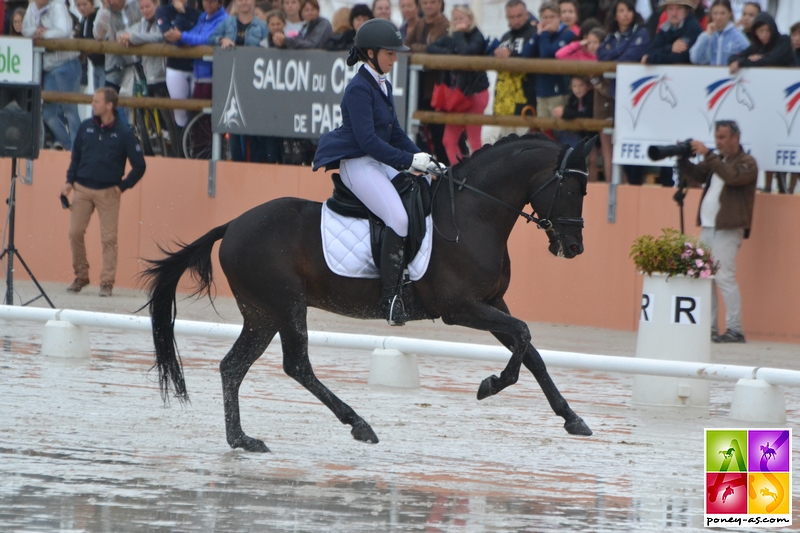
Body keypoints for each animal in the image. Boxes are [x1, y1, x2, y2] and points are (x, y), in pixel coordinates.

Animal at [144, 135, 592, 450]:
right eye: (574, 189)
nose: (574, 248)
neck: (474, 213)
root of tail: (232, 225)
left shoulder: (492, 303)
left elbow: (530, 350)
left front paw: (571, 418)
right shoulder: (461, 308)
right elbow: (523, 338)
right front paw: (492, 384)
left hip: (262, 313)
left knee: (233, 367)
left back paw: (242, 440)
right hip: (285, 306)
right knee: (296, 365)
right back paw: (359, 425)